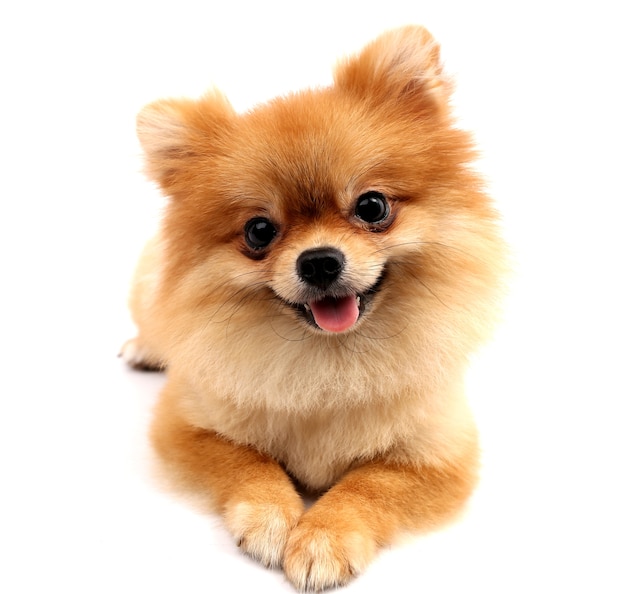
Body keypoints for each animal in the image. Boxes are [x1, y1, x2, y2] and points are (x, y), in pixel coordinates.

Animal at [122, 26, 508, 588]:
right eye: (259, 231)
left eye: (372, 206)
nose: (320, 261)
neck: (328, 360)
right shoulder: (185, 425)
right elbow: (244, 462)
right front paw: (270, 516)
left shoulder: (437, 455)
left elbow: (370, 486)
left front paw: (325, 536)